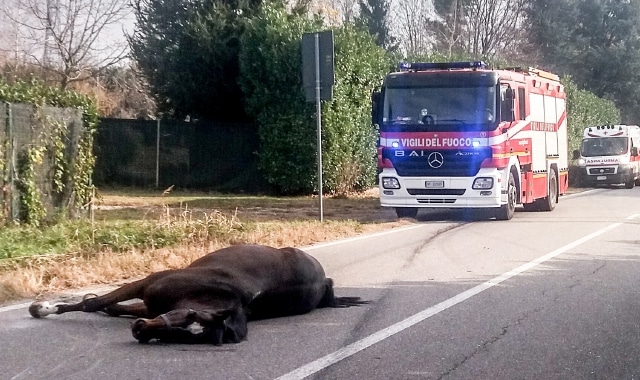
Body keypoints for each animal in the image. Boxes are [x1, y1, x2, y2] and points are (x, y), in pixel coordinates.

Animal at [28, 245, 370, 346]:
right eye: (189, 317)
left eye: (192, 336)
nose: (140, 331)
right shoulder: (147, 284)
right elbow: (95, 303)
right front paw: (43, 308)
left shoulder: (150, 302)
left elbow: (107, 306)